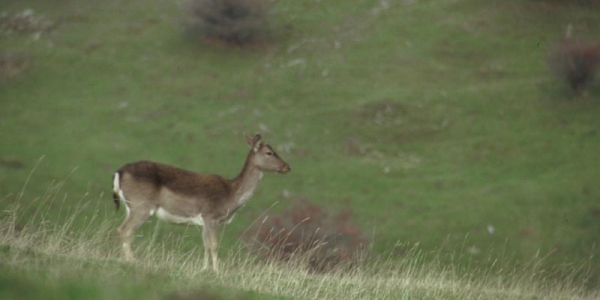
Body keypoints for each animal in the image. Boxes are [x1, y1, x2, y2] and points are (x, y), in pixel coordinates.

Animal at [113, 134, 292, 272]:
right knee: (124, 230)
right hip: (141, 205)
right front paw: (217, 271)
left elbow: (205, 244)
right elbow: (213, 244)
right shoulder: (210, 215)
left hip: (131, 206)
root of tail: (119, 172)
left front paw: (205, 269)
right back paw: (131, 261)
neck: (231, 195)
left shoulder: (205, 221)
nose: (287, 167)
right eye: (269, 152)